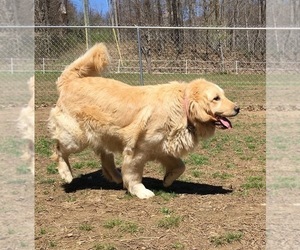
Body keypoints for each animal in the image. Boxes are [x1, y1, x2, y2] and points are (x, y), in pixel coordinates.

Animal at [48, 43, 239, 199]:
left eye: (223, 95)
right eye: (216, 98)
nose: (237, 108)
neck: (182, 108)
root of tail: (69, 81)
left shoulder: (162, 149)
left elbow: (180, 166)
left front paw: (167, 180)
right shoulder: (137, 151)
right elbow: (134, 174)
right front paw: (140, 191)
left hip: (103, 134)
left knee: (105, 157)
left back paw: (116, 177)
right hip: (75, 138)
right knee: (58, 150)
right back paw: (66, 174)